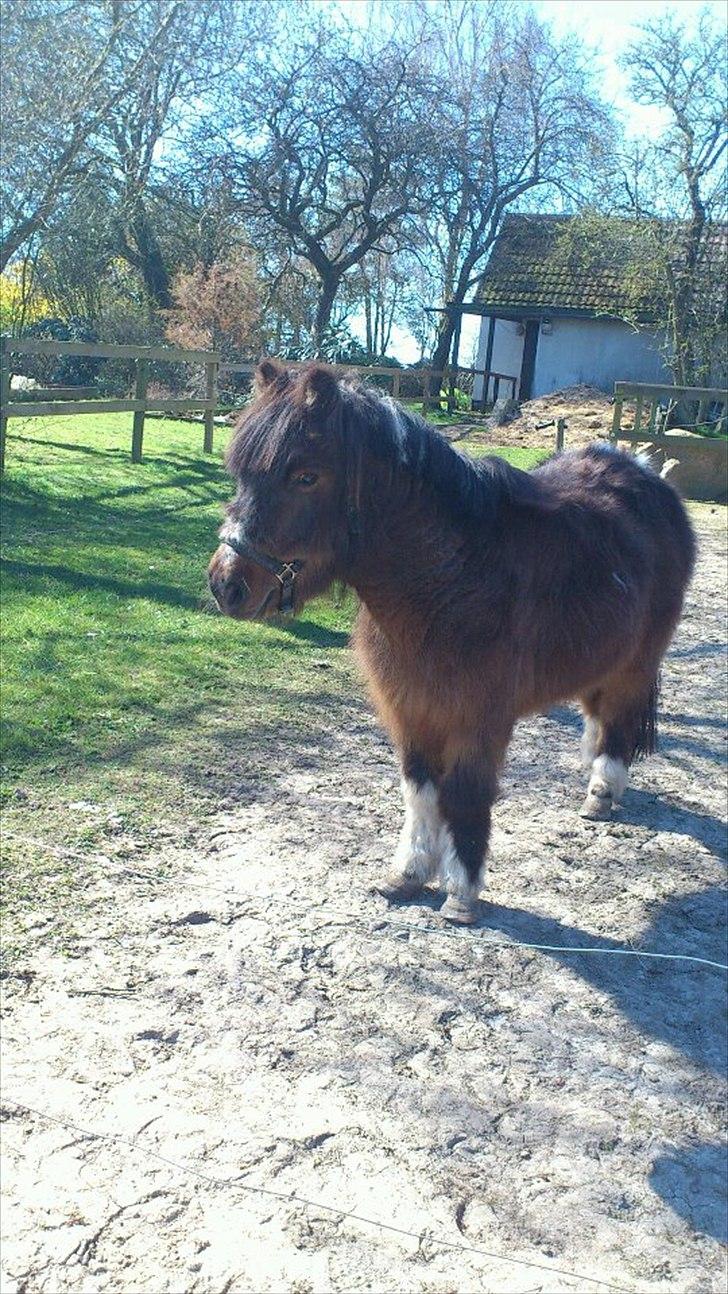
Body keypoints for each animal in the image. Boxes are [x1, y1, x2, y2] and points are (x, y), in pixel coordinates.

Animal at [208, 360, 696, 924]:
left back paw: (601, 792)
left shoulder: (476, 718)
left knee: (619, 720)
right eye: (241, 473)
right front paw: (408, 875)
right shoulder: (411, 710)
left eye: (305, 476)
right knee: (599, 717)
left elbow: (463, 795)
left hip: (637, 662)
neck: (452, 582)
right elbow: (421, 792)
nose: (225, 585)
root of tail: (643, 472)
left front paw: (462, 894)